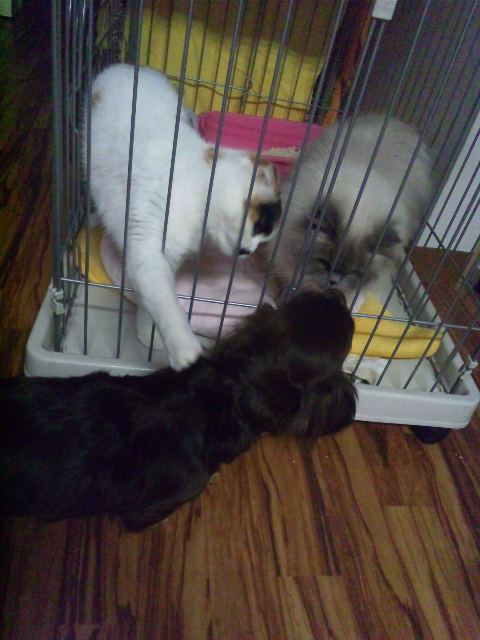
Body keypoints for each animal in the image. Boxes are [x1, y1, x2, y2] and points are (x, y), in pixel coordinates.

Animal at [85, 64, 281, 370]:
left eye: (263, 239)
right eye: (259, 224)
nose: (248, 251)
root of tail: (126, 66)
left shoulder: (167, 256)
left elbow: (150, 300)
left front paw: (148, 334)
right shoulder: (148, 247)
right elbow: (163, 301)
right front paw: (187, 351)